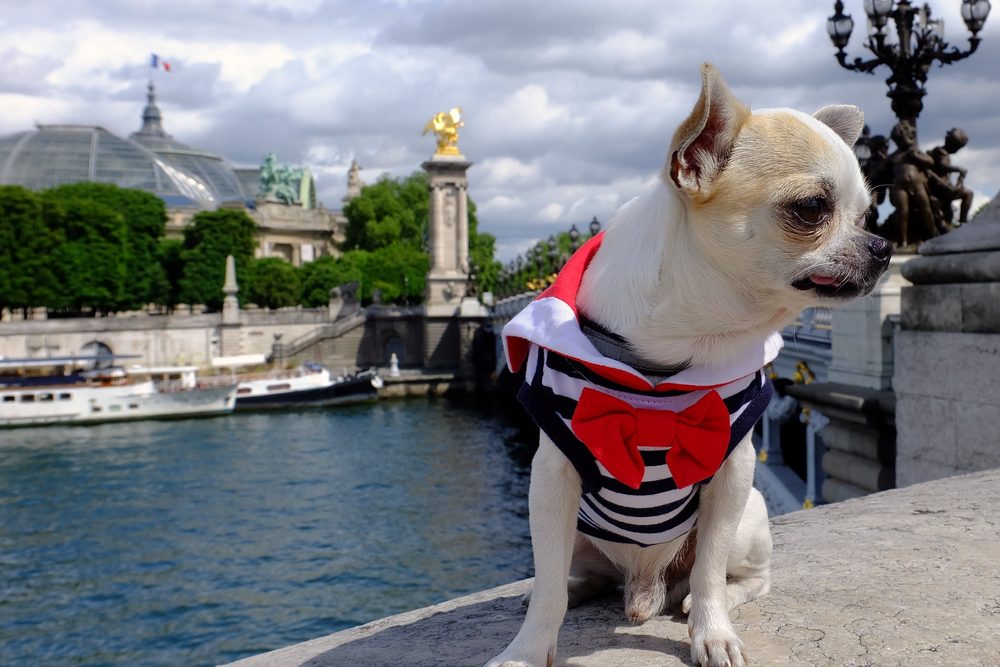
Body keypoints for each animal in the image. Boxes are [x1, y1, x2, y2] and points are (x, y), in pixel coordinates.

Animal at [488, 64, 888, 667]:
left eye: (867, 214)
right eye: (812, 209)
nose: (884, 246)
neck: (684, 340)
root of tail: (643, 590)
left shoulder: (733, 473)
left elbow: (709, 573)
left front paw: (713, 633)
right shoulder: (551, 478)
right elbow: (548, 585)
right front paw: (527, 650)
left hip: (750, 517)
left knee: (743, 576)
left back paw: (696, 600)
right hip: (580, 529)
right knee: (575, 575)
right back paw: (576, 588)